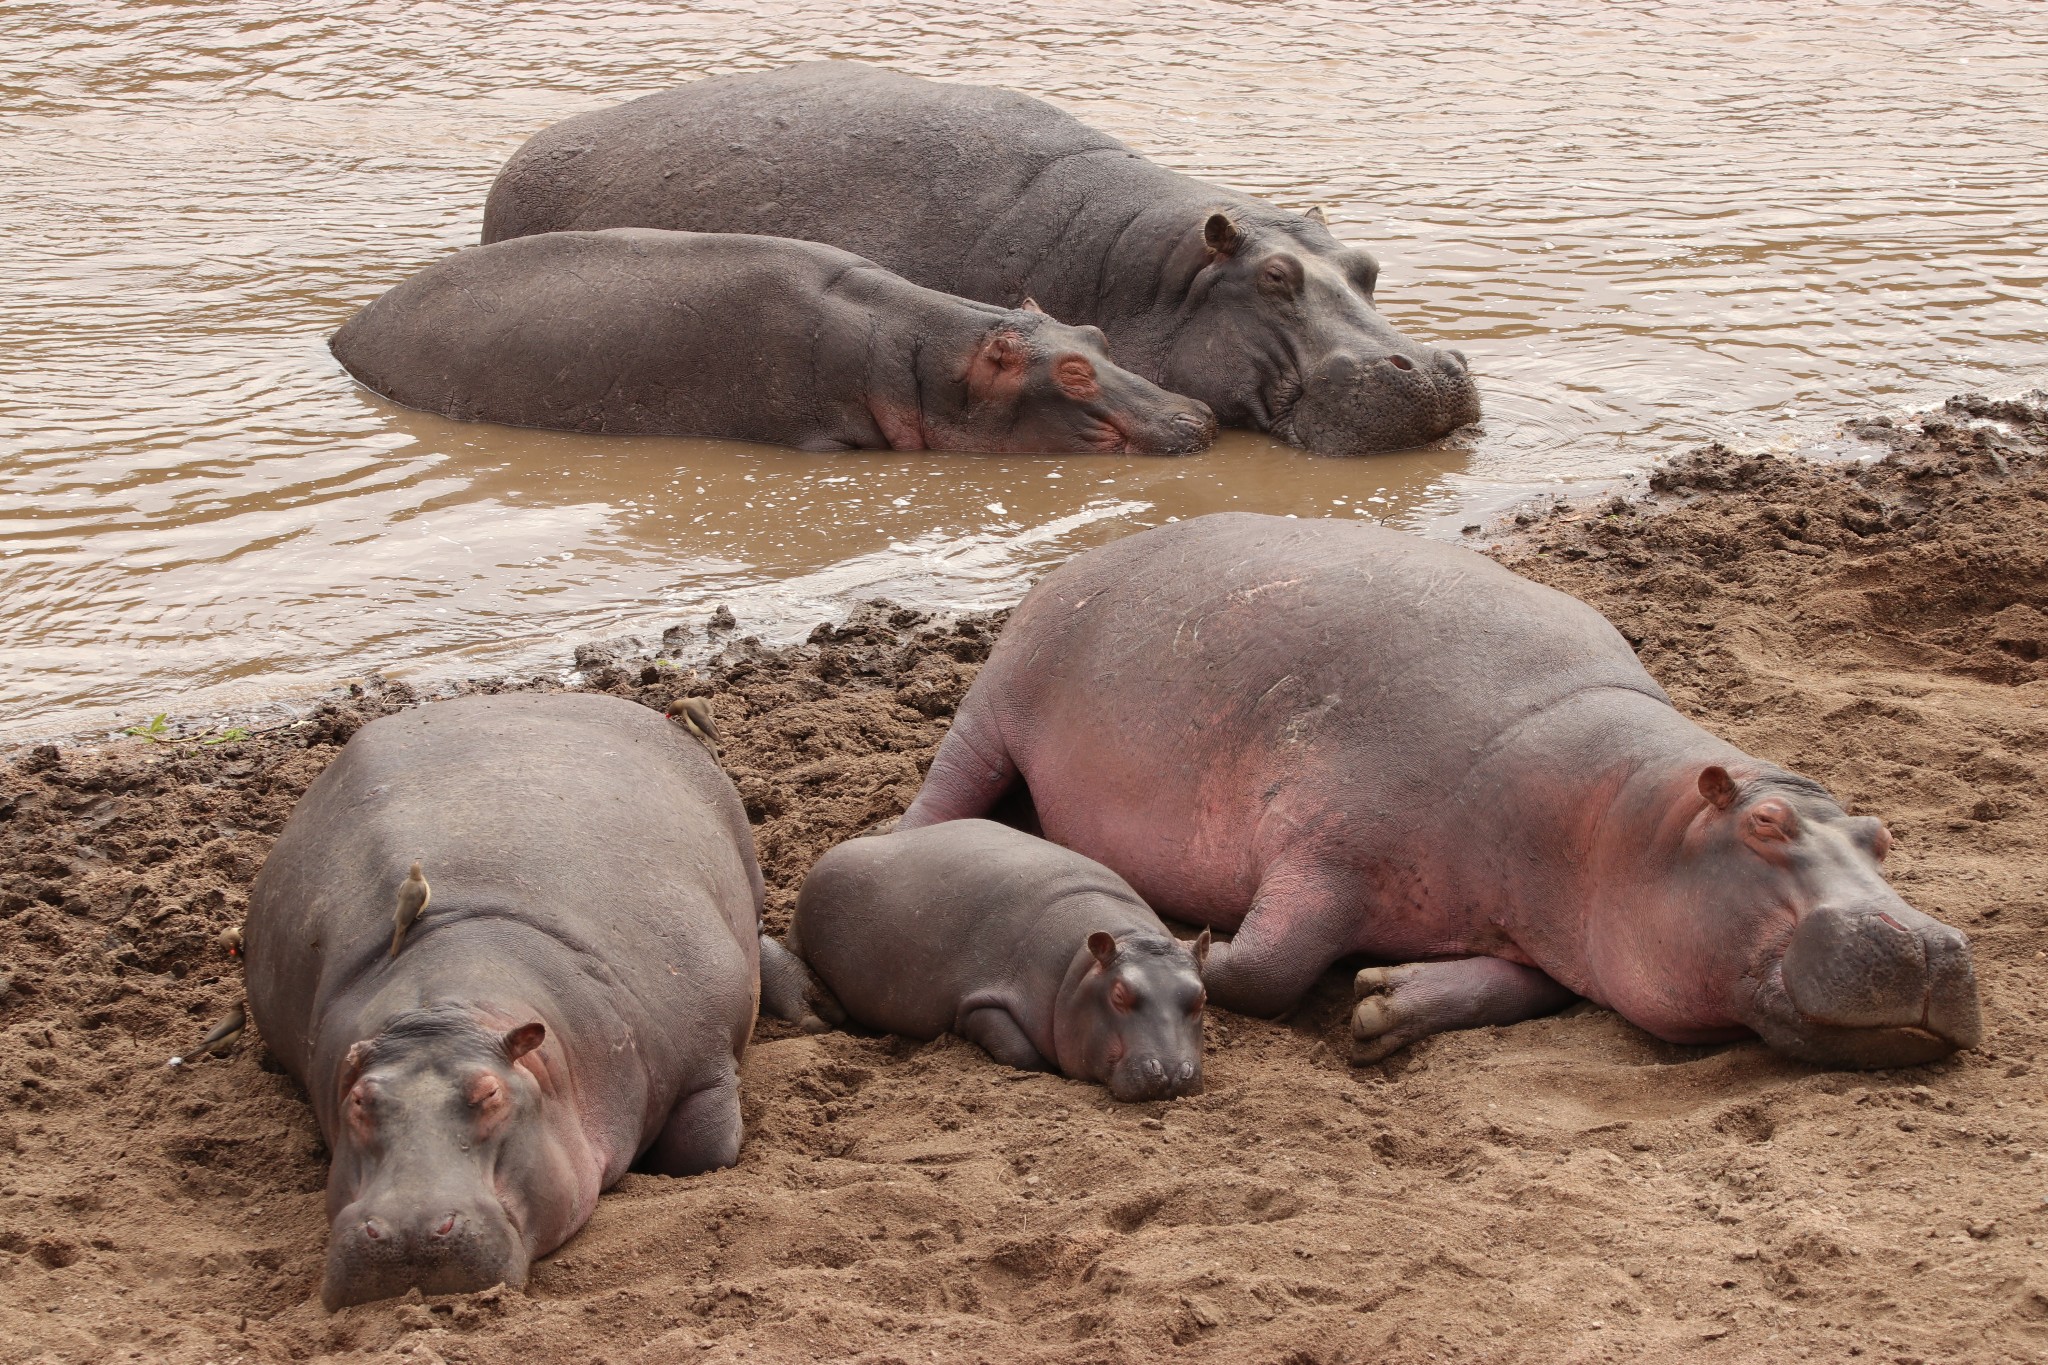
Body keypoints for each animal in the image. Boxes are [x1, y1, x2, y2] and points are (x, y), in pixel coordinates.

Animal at [778, 822, 1204, 1096]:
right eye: (1118, 994)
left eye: (1200, 998)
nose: (1170, 1072)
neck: (1081, 969)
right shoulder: (982, 1001)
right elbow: (1020, 1052)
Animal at [901, 511, 1982, 1064]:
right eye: (1763, 823)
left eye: (1879, 835)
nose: (1929, 942)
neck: (1621, 816)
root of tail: (1082, 557)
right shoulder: (1327, 844)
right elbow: (1266, 969)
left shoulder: (1554, 928)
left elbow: (1527, 986)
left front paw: (1383, 1003)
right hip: (998, 700)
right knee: (938, 799)